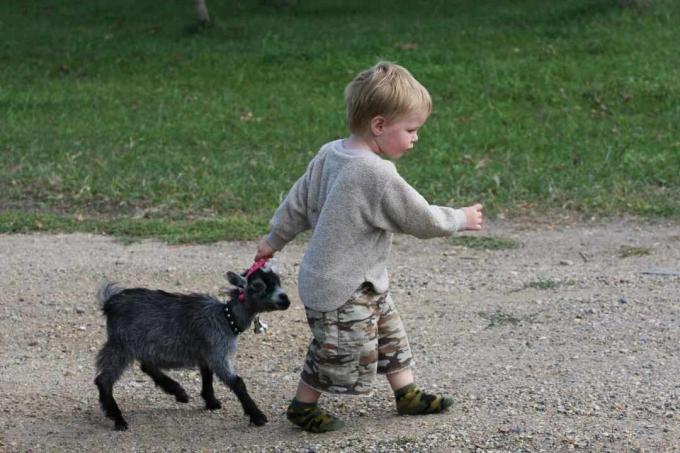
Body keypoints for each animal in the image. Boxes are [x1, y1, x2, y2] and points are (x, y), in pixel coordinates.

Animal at [93, 264, 290, 430]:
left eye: (278, 281)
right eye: (258, 285)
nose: (286, 300)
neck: (227, 318)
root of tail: (109, 303)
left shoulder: (206, 352)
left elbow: (207, 375)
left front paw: (211, 402)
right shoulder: (218, 351)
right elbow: (237, 382)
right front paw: (258, 416)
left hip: (139, 344)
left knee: (146, 366)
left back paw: (178, 392)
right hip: (121, 345)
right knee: (103, 380)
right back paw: (118, 419)